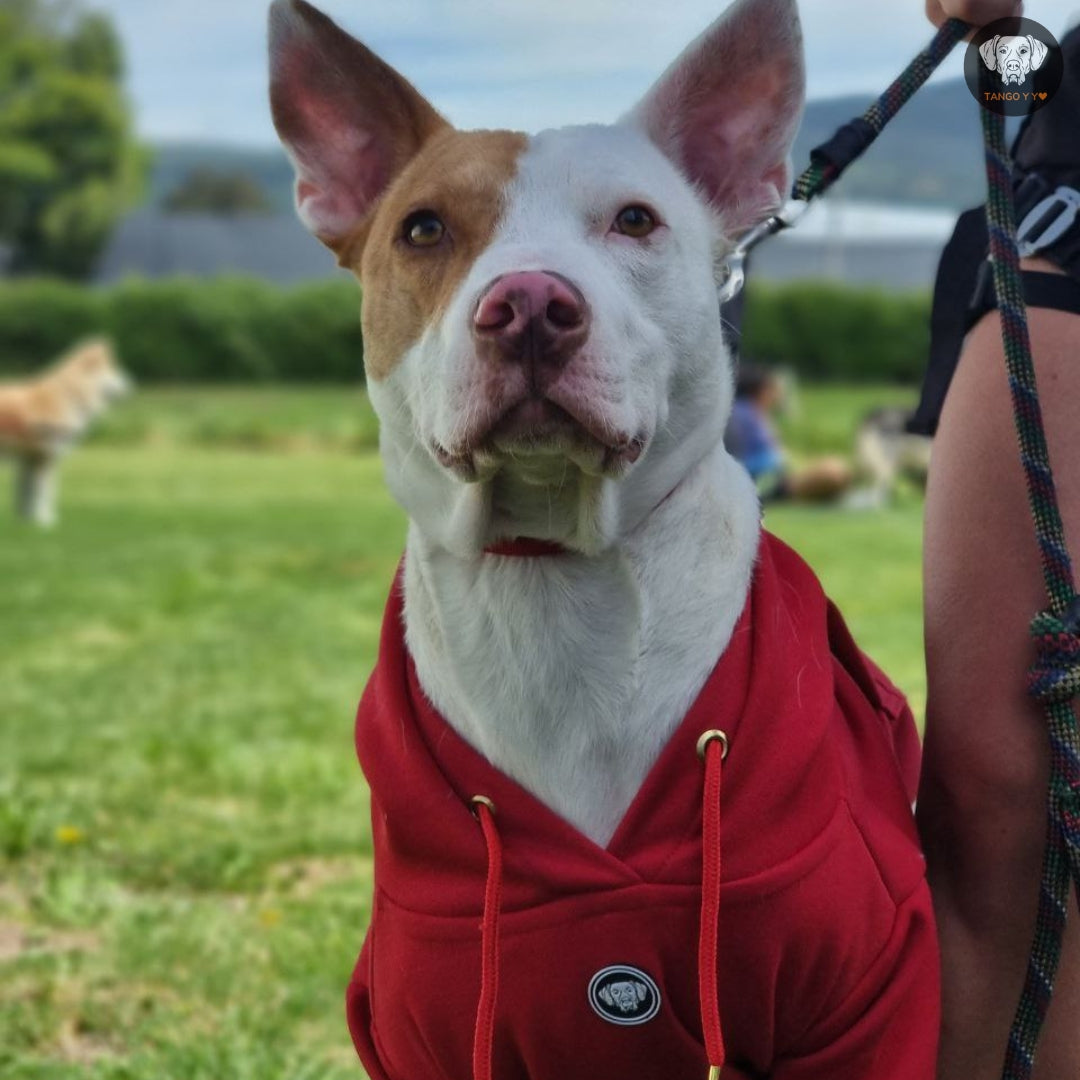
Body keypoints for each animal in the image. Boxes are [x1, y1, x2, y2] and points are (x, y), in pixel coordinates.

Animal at [0, 334, 130, 524]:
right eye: (113, 371)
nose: (130, 387)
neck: (69, 396)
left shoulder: (30, 459)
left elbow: (27, 495)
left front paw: (26, 522)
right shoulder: (44, 457)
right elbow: (44, 492)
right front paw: (45, 521)